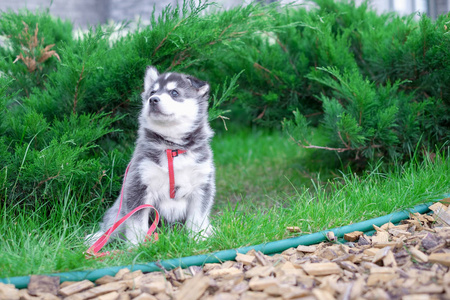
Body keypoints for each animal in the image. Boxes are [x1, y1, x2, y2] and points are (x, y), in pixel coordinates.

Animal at [87, 67, 216, 245]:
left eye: (174, 92)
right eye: (152, 92)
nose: (153, 100)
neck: (172, 147)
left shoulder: (202, 185)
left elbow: (197, 219)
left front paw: (198, 239)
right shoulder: (139, 184)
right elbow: (136, 223)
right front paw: (136, 245)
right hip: (119, 211)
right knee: (112, 227)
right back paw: (97, 238)